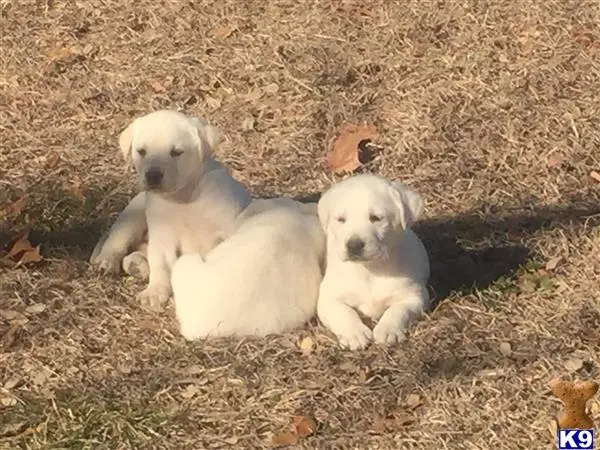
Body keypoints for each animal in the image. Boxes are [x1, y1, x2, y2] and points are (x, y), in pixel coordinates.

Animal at [316, 174, 428, 350]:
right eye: (341, 220)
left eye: (376, 218)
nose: (354, 245)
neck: (370, 269)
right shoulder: (328, 298)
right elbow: (343, 313)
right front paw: (354, 333)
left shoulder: (414, 297)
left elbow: (398, 311)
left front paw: (388, 330)